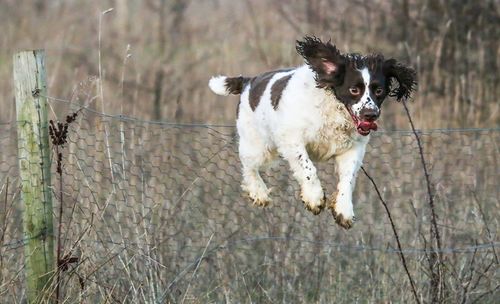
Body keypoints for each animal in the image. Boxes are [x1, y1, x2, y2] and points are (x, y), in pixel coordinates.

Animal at [208, 36, 418, 228]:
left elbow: (348, 178)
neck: (333, 108)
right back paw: (259, 192)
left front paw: (343, 210)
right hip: (258, 144)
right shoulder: (292, 138)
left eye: (379, 91)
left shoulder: (353, 149)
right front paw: (314, 198)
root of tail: (248, 82)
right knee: (248, 165)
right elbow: (307, 167)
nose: (371, 114)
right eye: (354, 90)